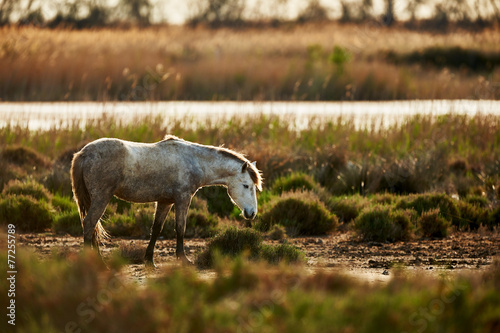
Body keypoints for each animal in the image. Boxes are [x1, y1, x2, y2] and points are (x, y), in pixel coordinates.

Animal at [73, 134, 266, 264]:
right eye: (246, 185)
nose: (251, 213)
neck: (194, 161)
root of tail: (84, 153)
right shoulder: (182, 199)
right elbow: (180, 228)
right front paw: (183, 259)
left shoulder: (165, 201)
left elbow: (156, 229)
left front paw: (149, 260)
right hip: (101, 197)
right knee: (89, 223)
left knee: (91, 226)